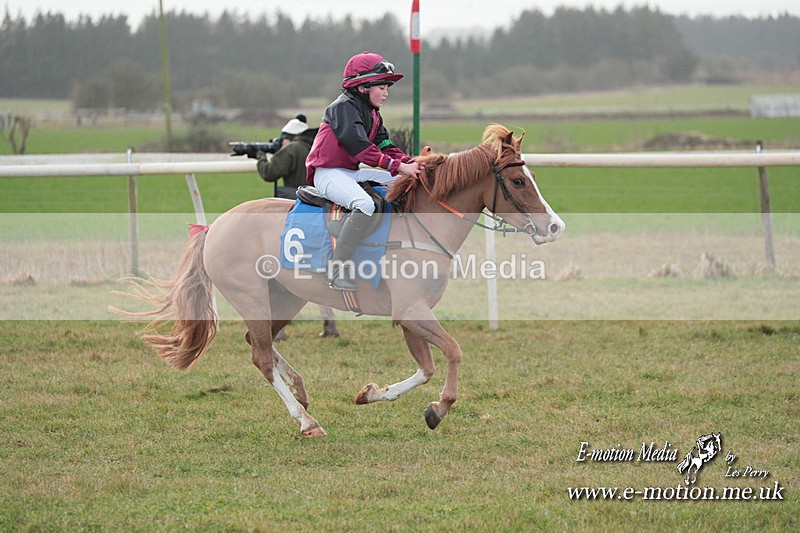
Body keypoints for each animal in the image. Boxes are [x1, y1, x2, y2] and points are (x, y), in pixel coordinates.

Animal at [119, 124, 565, 438]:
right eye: (519, 181)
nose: (555, 226)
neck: (421, 227)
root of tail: (214, 227)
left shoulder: (409, 315)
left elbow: (426, 368)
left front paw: (372, 393)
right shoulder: (412, 310)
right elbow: (452, 353)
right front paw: (438, 409)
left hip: (285, 298)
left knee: (259, 346)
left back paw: (300, 390)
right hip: (252, 298)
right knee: (260, 355)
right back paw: (305, 421)